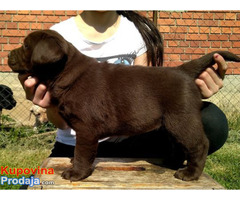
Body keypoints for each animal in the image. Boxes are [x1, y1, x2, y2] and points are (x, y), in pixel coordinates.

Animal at [7, 29, 240, 181]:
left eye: (26, 46)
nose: (8, 54)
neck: (65, 72)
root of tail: (182, 70)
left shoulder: (86, 128)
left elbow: (82, 152)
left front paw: (77, 173)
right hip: (172, 122)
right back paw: (170, 163)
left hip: (182, 119)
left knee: (199, 144)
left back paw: (190, 174)